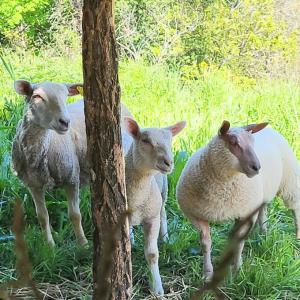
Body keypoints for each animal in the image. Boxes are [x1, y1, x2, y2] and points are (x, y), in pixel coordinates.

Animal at [12, 79, 131, 246]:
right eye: (37, 96)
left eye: (66, 96)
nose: (65, 122)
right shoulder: (33, 185)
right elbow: (42, 216)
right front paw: (50, 245)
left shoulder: (72, 178)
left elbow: (75, 214)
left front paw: (83, 244)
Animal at [122, 116, 185, 296]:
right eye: (145, 140)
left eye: (171, 142)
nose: (169, 163)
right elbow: (126, 248)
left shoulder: (152, 217)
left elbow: (151, 254)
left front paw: (157, 288)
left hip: (163, 191)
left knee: (163, 212)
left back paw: (164, 238)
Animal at [176, 120, 300, 278]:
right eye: (233, 142)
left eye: (253, 142)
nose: (257, 167)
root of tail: (270, 129)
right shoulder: (197, 216)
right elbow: (205, 244)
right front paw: (207, 272)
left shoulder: (244, 214)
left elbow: (238, 242)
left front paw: (236, 269)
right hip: (264, 193)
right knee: (263, 210)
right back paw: (263, 234)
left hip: (290, 181)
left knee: (295, 209)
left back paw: (297, 237)